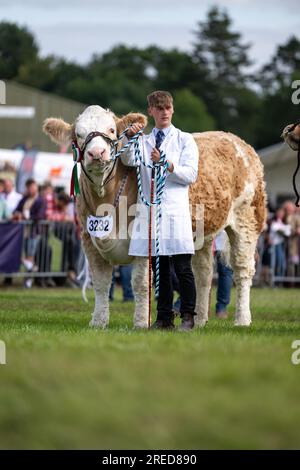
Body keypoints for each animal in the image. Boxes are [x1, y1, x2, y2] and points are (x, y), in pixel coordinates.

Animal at [43, 105, 266, 328]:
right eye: (78, 134)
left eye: (112, 130)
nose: (97, 153)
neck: (105, 197)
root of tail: (234, 139)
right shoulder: (89, 240)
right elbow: (100, 283)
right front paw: (98, 322)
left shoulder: (143, 241)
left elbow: (140, 283)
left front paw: (141, 322)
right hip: (202, 233)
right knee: (203, 273)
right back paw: (200, 319)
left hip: (247, 221)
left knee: (243, 271)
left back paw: (242, 319)